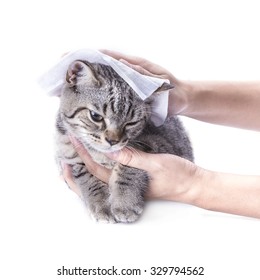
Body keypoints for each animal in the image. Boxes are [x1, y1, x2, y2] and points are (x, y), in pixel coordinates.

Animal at [55, 60, 193, 223]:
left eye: (131, 123)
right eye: (95, 116)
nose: (112, 141)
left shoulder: (156, 144)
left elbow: (129, 169)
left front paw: (124, 202)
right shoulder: (67, 154)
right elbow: (86, 174)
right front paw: (101, 203)